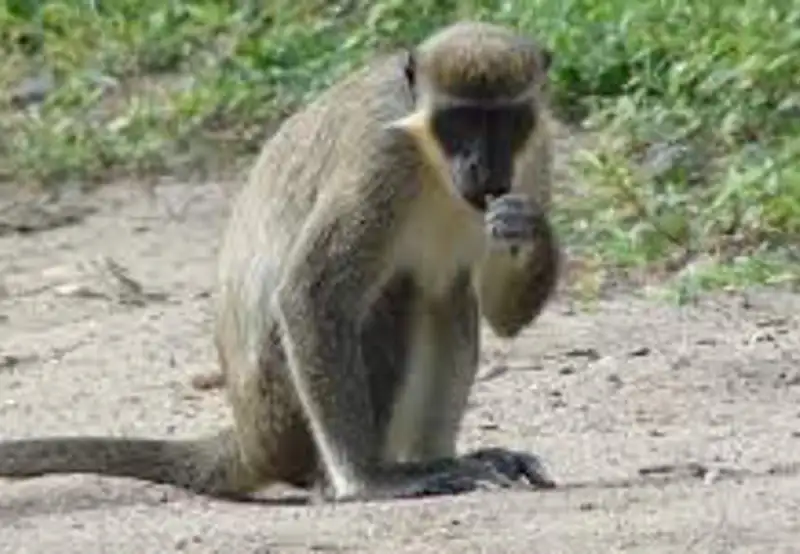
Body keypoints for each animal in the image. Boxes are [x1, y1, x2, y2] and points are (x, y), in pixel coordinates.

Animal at [0, 20, 561, 503]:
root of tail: (252, 439)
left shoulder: (535, 151)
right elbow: (311, 294)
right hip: (286, 414)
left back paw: (444, 457)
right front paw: (369, 482)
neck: (428, 152)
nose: (482, 166)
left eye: (505, 121)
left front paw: (528, 227)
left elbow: (501, 315)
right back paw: (367, 476)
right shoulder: (381, 156)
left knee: (447, 293)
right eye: (461, 121)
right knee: (395, 294)